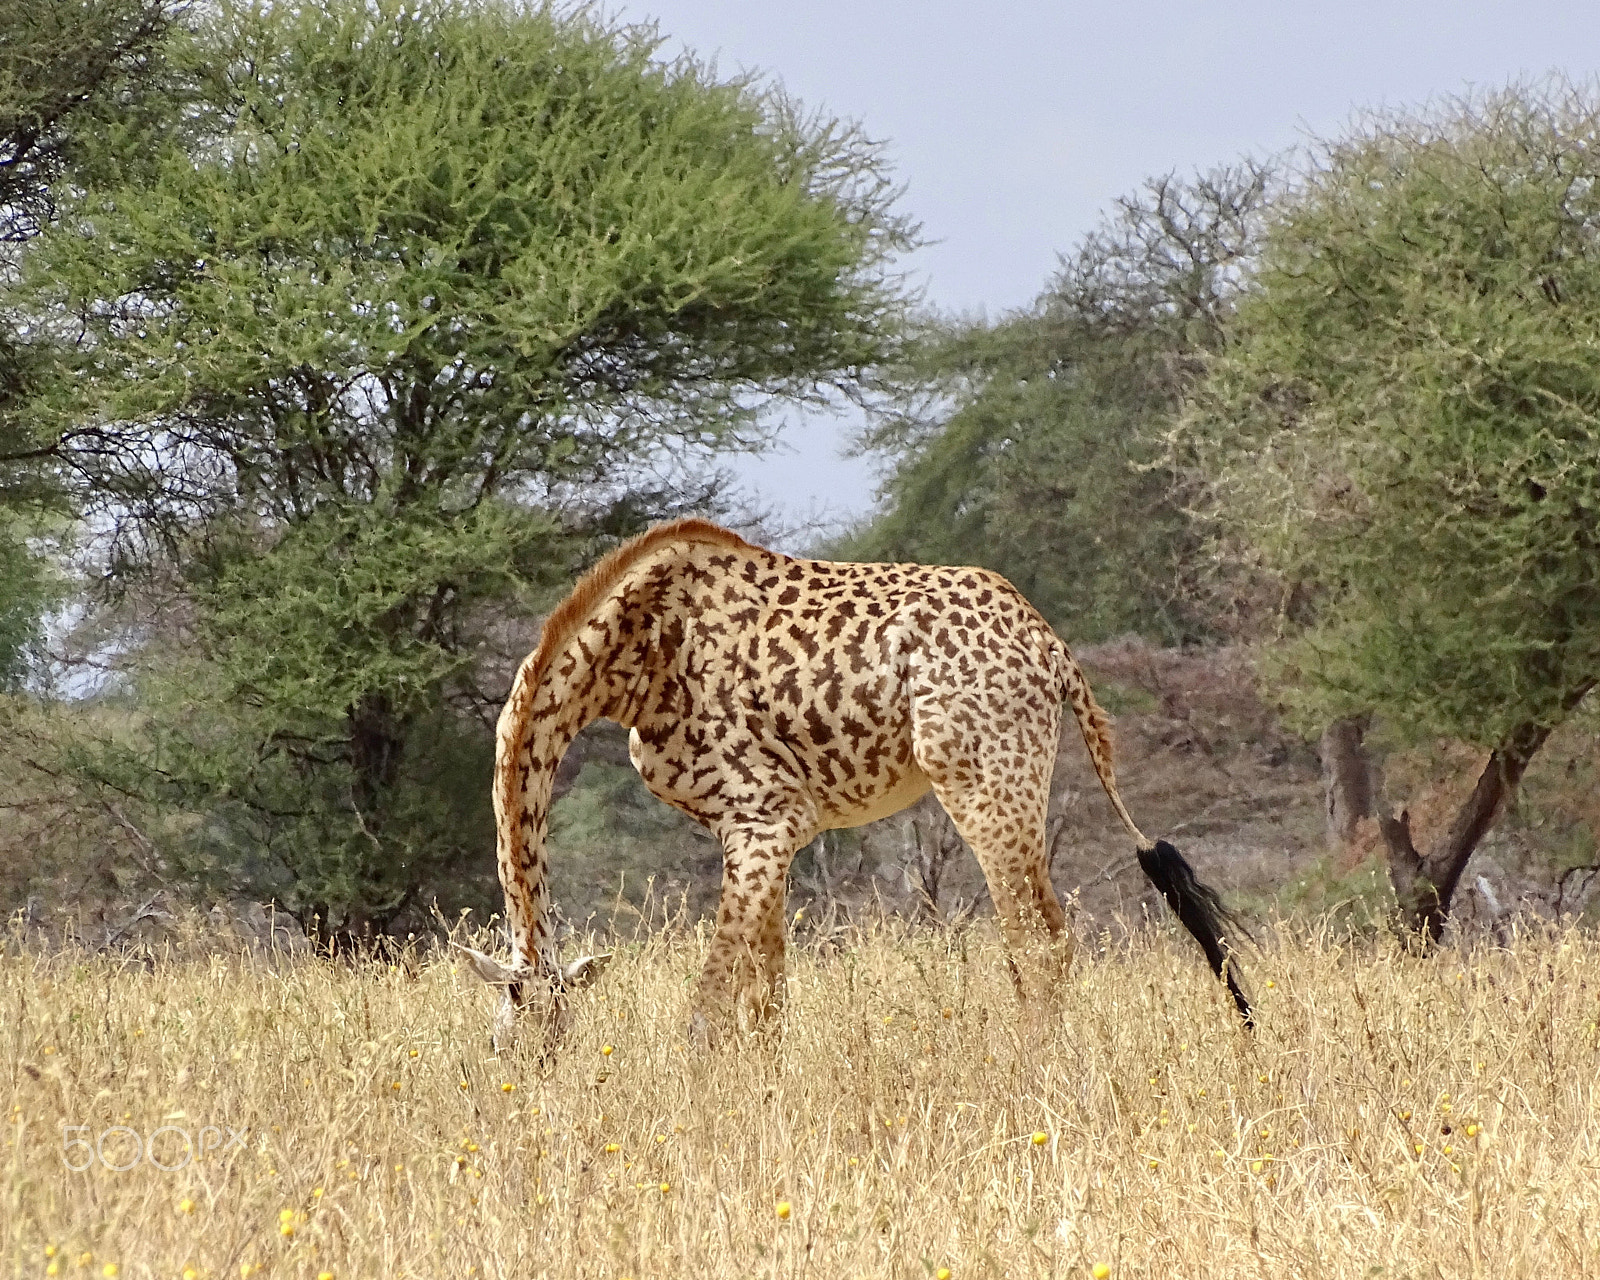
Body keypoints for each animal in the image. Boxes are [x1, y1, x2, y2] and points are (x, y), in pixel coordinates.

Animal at [457, 518, 1254, 1049]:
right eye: (503, 1044)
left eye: (527, 1041)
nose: (528, 1089)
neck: (633, 655)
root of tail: (1056, 651)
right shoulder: (761, 835)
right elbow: (766, 1001)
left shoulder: (763, 820)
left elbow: (707, 1009)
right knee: (1038, 941)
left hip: (984, 781)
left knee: (1039, 942)